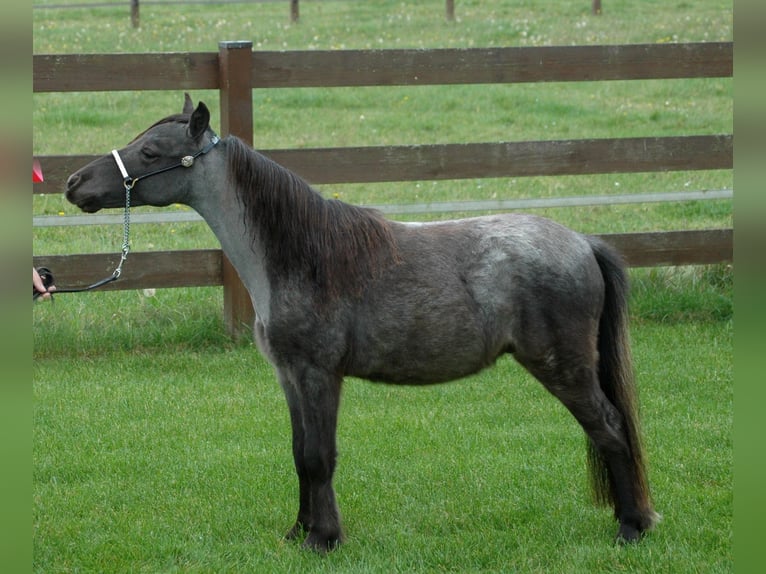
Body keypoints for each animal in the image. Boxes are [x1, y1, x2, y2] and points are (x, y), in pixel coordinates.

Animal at [67, 94, 660, 552]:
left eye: (150, 151)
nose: (74, 183)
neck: (300, 255)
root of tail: (583, 242)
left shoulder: (318, 375)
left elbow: (319, 457)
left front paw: (323, 538)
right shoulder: (289, 377)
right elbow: (299, 455)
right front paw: (298, 531)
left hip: (565, 368)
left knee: (610, 429)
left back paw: (631, 528)